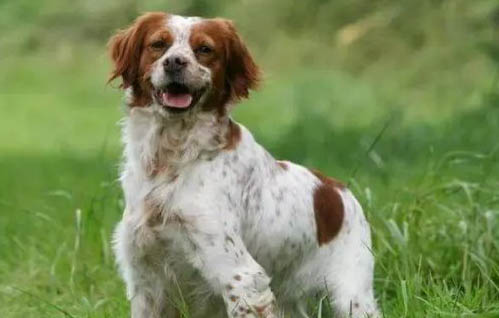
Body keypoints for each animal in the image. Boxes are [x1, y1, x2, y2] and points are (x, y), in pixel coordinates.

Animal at [108, 11, 378, 316]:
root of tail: (339, 190)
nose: (174, 62)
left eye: (205, 49)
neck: (172, 159)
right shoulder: (146, 283)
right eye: (158, 44)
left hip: (352, 297)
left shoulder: (242, 277)